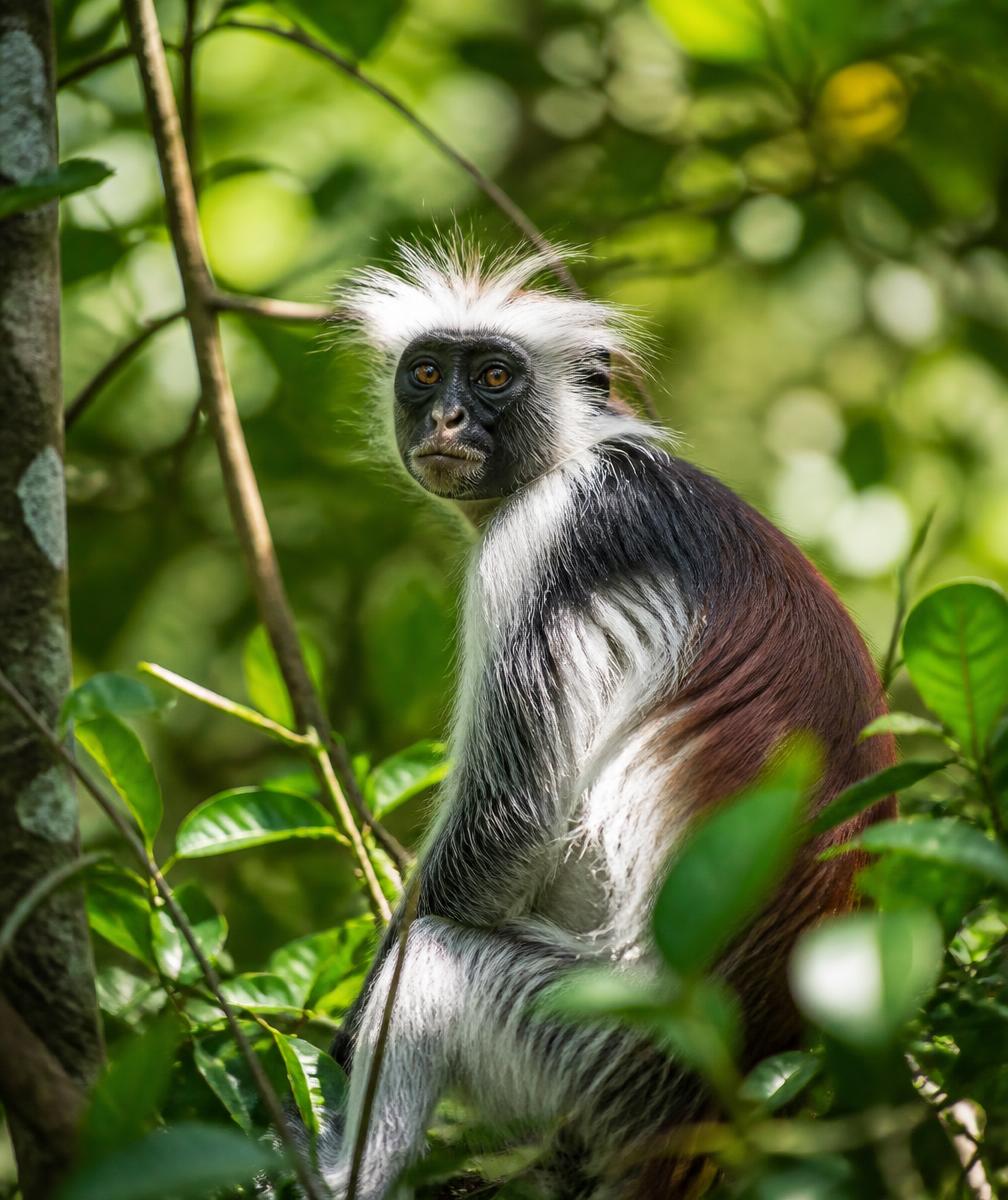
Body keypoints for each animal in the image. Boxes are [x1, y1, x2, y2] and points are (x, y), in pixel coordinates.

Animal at [313, 238, 895, 1200]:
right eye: (426, 373)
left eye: (496, 376)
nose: (447, 420)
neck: (584, 454)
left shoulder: (544, 536)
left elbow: (507, 826)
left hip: (608, 1040)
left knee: (431, 960)